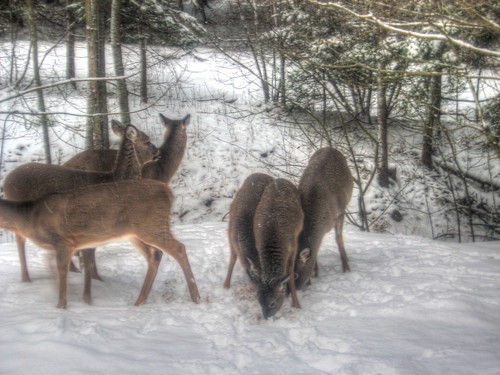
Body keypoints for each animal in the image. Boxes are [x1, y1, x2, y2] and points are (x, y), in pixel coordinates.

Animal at [0, 181, 199, 310]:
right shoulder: (64, 245)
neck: (28, 219)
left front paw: (61, 304)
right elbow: (51, 263)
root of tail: (168, 191)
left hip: (151, 225)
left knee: (179, 248)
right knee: (154, 255)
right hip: (135, 233)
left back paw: (195, 297)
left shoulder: (63, 241)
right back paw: (139, 301)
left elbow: (61, 269)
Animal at [1, 122, 158, 304]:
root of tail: (6, 181)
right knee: (20, 240)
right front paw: (87, 296)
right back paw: (26, 278)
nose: (158, 152)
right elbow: (89, 259)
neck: (114, 181)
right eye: (147, 141)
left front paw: (97, 280)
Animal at [225, 174, 302, 320]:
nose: (266, 317)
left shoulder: (293, 246)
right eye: (259, 301)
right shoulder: (232, 239)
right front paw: (225, 285)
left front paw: (296, 304)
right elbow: (232, 259)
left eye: (273, 303)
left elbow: (290, 273)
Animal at [294, 147, 354, 290]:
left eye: (295, 275)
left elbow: (339, 238)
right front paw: (315, 272)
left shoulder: (340, 212)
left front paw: (346, 268)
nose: (292, 290)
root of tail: (330, 147)